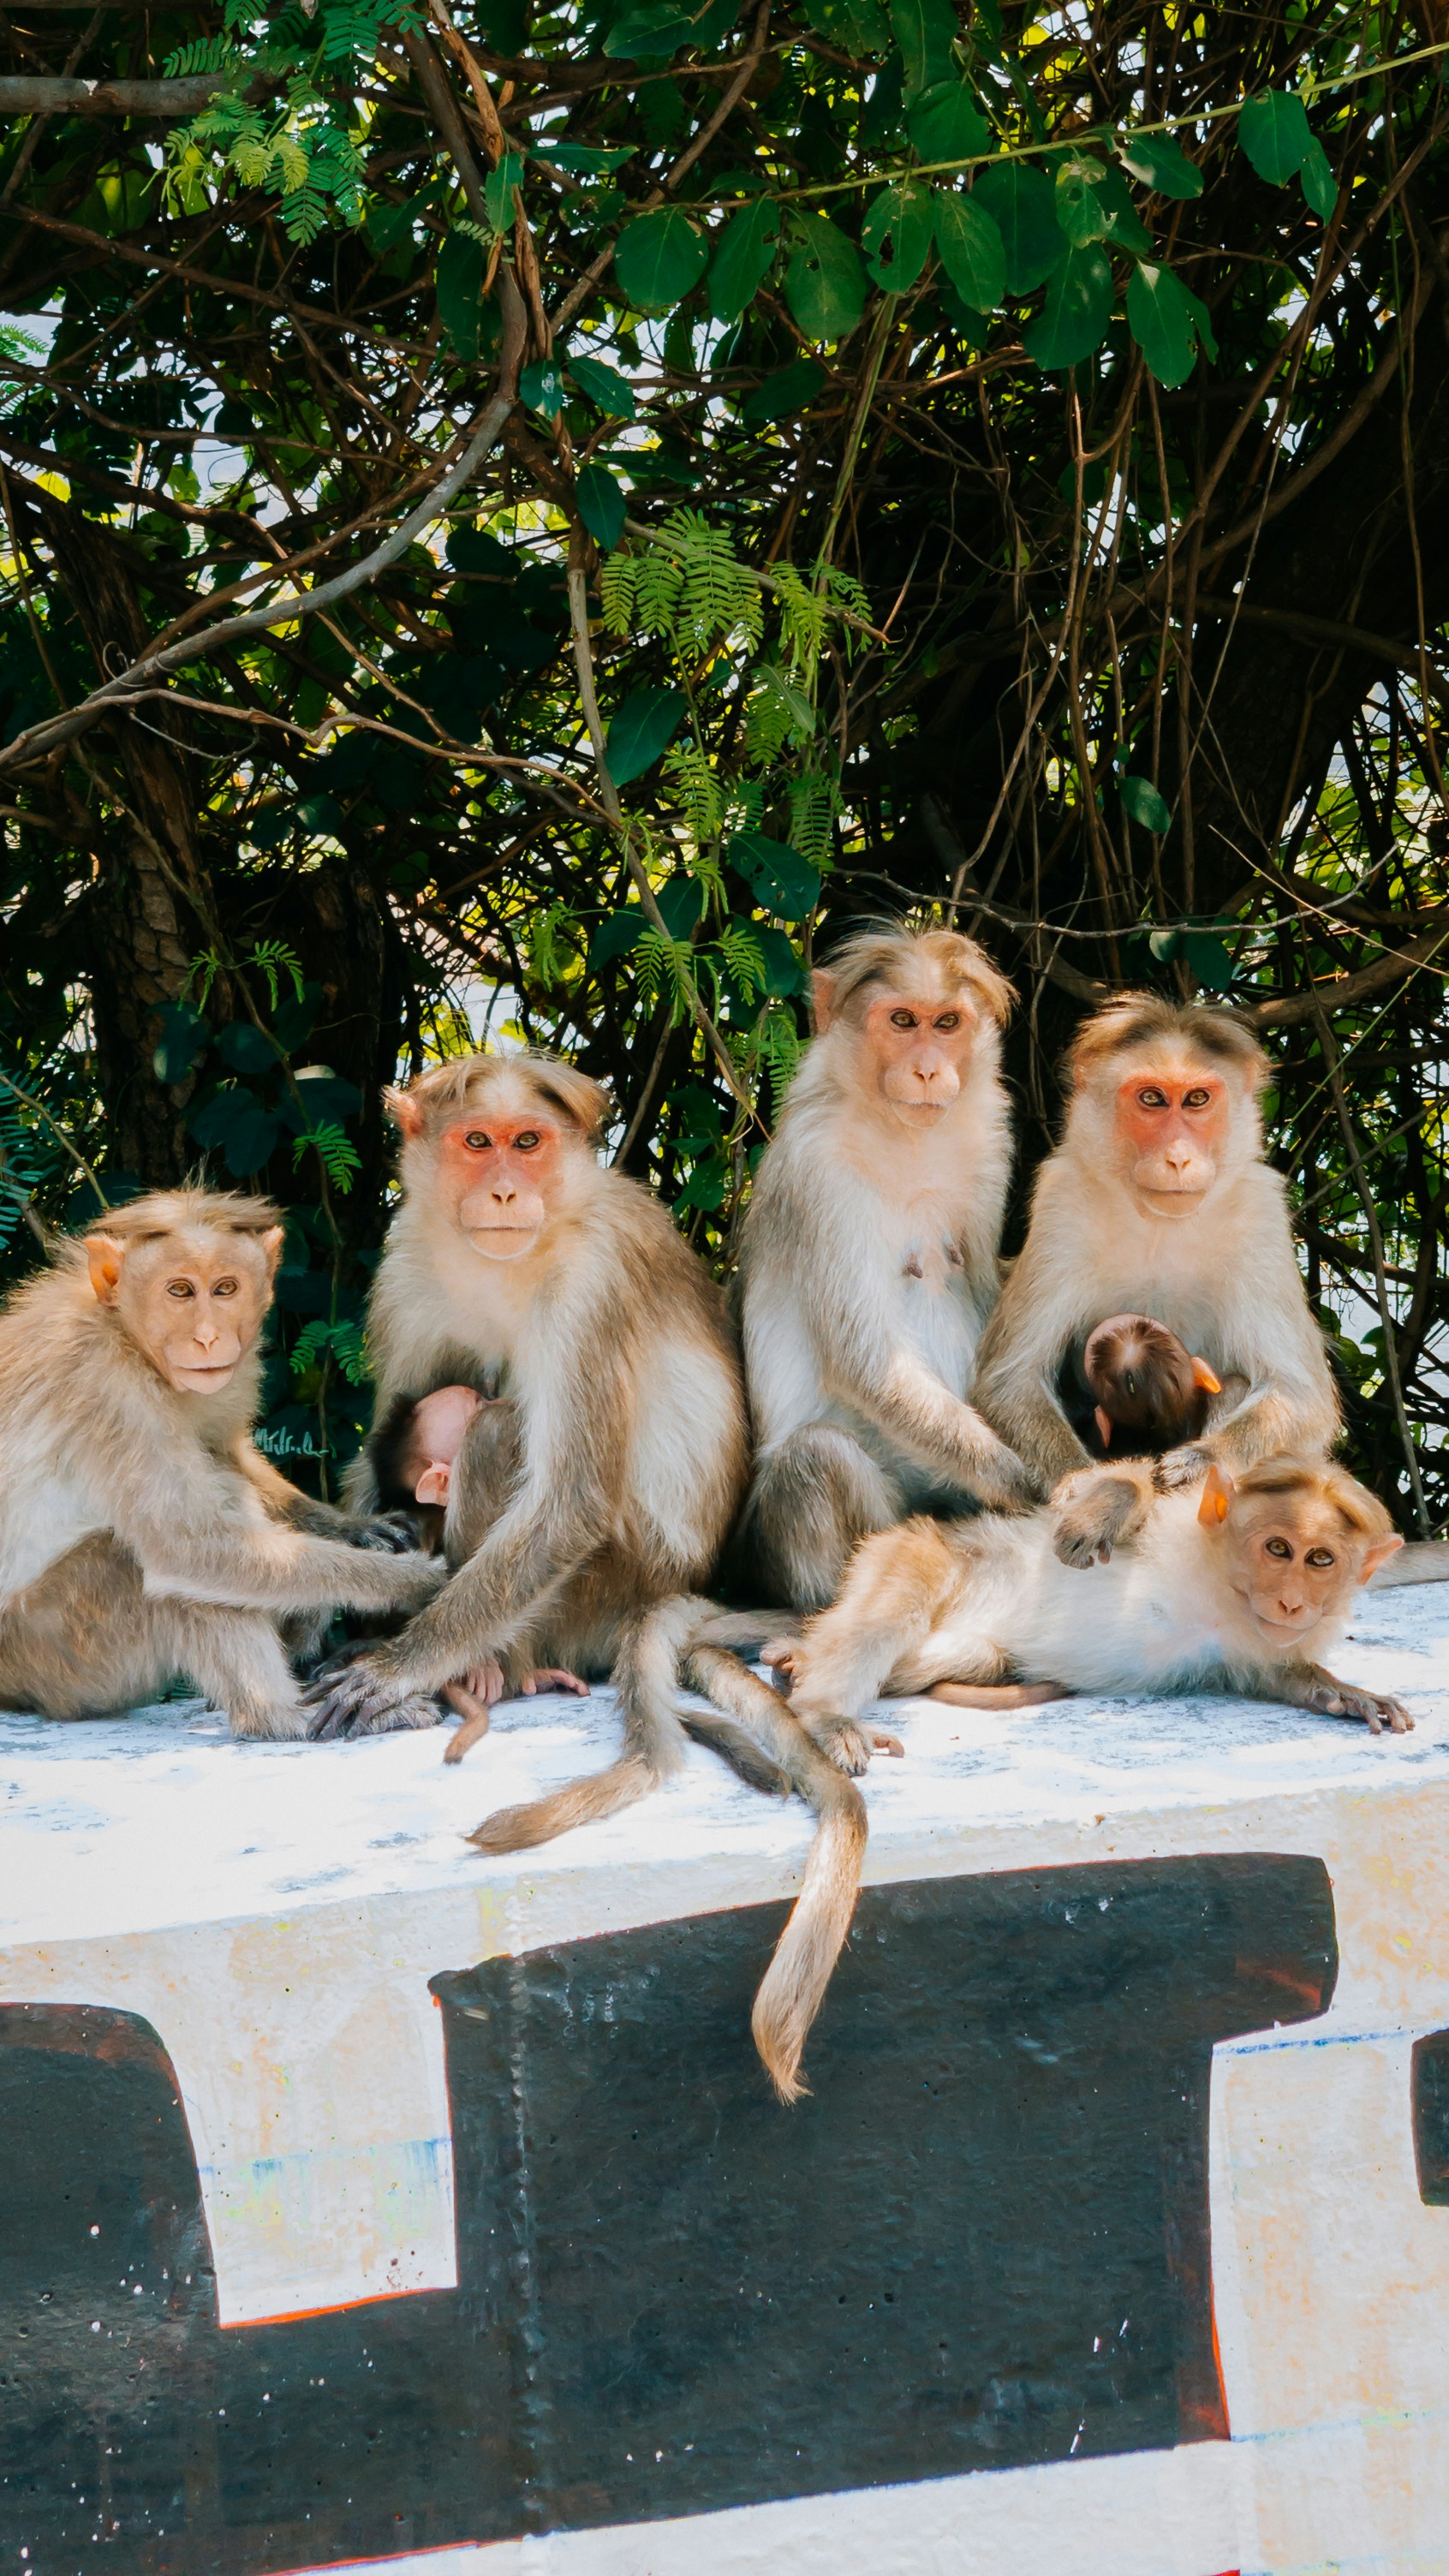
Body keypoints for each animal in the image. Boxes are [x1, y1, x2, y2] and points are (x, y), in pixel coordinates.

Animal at [0, 1191, 446, 1740]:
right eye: (180, 1291)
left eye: (225, 1288)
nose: (210, 1338)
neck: (125, 1335)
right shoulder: (107, 1387)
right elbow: (186, 1549)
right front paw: (410, 1582)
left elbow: (225, 1450)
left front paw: (355, 1529)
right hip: (56, 1654)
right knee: (152, 1559)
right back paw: (281, 1716)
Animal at [303, 1052, 866, 2103]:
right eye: (476, 1142)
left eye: (528, 1140)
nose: (503, 1188)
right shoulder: (406, 1264)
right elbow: (383, 1436)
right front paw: (354, 1569)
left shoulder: (591, 1284)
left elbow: (566, 1497)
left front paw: (397, 1663)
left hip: (605, 1583)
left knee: (500, 1428)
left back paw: (494, 1672)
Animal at [734, 924, 1037, 1615]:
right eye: (901, 1020)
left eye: (946, 1022)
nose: (928, 1068)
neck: (903, 1133)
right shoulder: (818, 1174)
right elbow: (864, 1359)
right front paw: (1022, 1478)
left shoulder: (992, 1143)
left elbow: (987, 1294)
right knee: (814, 1459)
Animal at [775, 1453, 1409, 1770]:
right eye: (1279, 1549)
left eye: (1321, 1560)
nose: (1291, 1601)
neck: (1220, 1591)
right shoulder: (1181, 1521)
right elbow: (1079, 1489)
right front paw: (1105, 1506)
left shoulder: (1255, 1646)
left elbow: (1273, 1676)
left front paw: (1343, 1692)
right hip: (922, 1551)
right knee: (888, 1617)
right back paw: (821, 1709)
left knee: (975, 1655)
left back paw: (800, 1661)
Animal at [971, 995, 1339, 1505]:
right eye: (1152, 1099)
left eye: (1197, 1100)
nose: (1179, 1157)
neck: (1160, 1224)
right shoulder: (1061, 1204)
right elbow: (1011, 1380)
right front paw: (1081, 1480)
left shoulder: (1261, 1214)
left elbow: (1301, 1396)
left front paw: (1199, 1461)